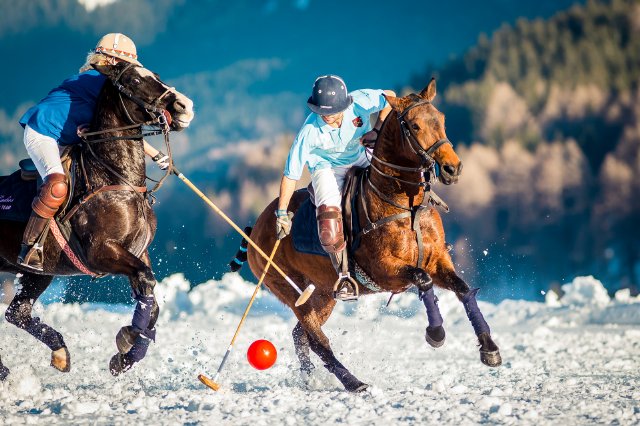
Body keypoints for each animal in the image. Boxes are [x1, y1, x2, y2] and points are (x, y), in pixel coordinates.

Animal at [0, 61, 195, 382]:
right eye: (135, 80)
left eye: (155, 75)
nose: (184, 107)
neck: (118, 179)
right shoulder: (100, 251)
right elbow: (146, 282)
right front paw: (128, 339)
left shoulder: (138, 251)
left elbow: (150, 296)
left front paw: (125, 356)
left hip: (38, 272)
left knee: (17, 312)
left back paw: (58, 353)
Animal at [244, 79, 500, 392]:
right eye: (414, 126)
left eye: (441, 119)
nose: (453, 168)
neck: (406, 203)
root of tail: (257, 227)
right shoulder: (384, 270)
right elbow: (422, 280)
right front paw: (436, 332)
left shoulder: (437, 259)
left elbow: (463, 290)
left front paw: (489, 348)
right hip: (290, 290)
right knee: (317, 339)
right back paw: (354, 383)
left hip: (323, 293)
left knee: (300, 334)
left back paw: (309, 379)